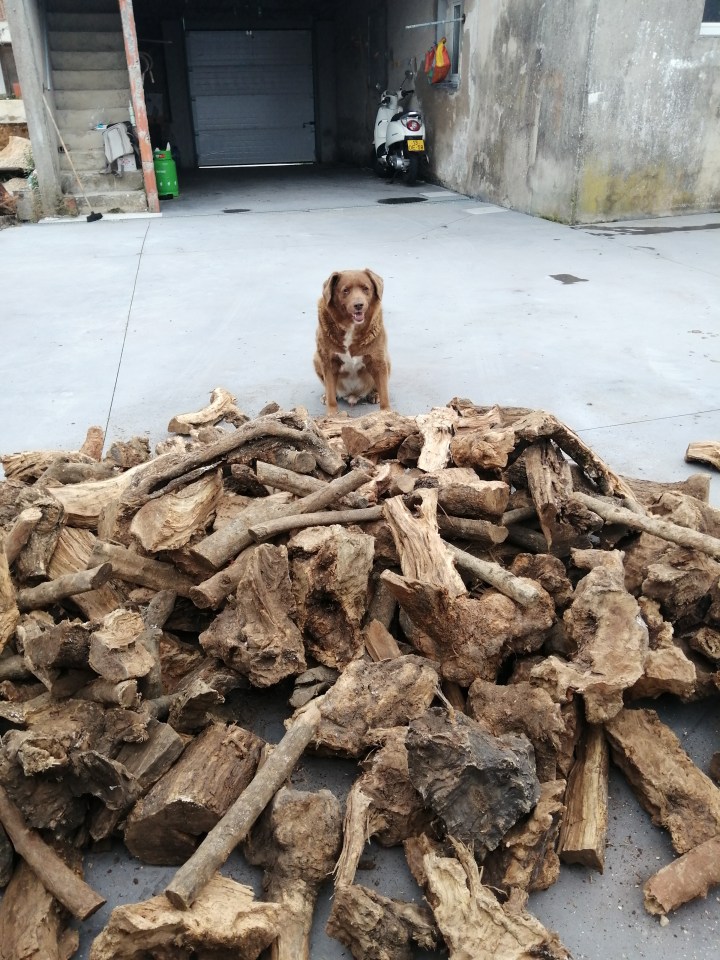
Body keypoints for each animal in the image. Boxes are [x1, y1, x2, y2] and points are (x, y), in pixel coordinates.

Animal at [314, 268, 390, 414]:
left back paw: (374, 394)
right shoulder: (328, 362)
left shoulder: (378, 360)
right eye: (345, 290)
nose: (358, 305)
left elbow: (384, 394)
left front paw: (387, 414)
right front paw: (332, 414)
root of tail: (352, 395)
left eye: (366, 288)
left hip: (387, 361)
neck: (351, 327)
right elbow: (331, 394)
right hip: (316, 359)